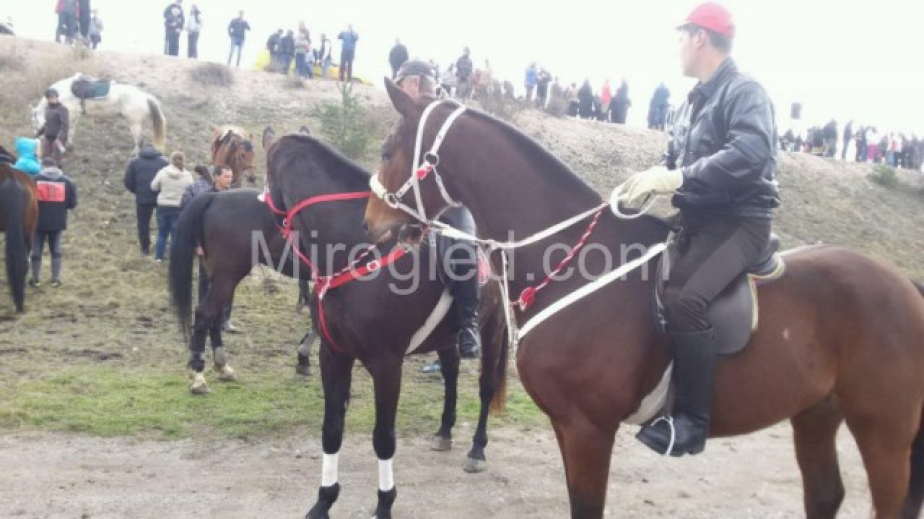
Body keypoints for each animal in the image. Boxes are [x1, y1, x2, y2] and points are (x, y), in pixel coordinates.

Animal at [32, 73, 167, 152]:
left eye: (36, 122)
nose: (40, 137)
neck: (62, 93)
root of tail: (145, 96)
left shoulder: (70, 115)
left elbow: (68, 130)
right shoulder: (74, 116)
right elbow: (71, 131)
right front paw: (70, 145)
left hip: (134, 124)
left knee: (139, 140)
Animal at [169, 188, 315, 394]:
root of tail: (214, 196)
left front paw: (303, 357)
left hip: (222, 279)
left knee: (215, 316)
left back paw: (222, 366)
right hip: (227, 276)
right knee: (205, 314)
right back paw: (199, 376)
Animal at [264, 128, 510, 519]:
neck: (357, 250)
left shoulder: (386, 364)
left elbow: (383, 438)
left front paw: (384, 503)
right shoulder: (333, 355)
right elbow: (331, 430)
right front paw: (323, 500)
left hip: (493, 331)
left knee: (485, 387)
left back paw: (476, 449)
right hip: (446, 338)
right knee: (451, 375)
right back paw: (445, 431)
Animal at [364, 81, 924, 519]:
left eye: (389, 149)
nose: (371, 223)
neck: (572, 258)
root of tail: (904, 285)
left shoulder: (589, 429)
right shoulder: (567, 426)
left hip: (884, 432)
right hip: (816, 414)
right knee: (825, 495)